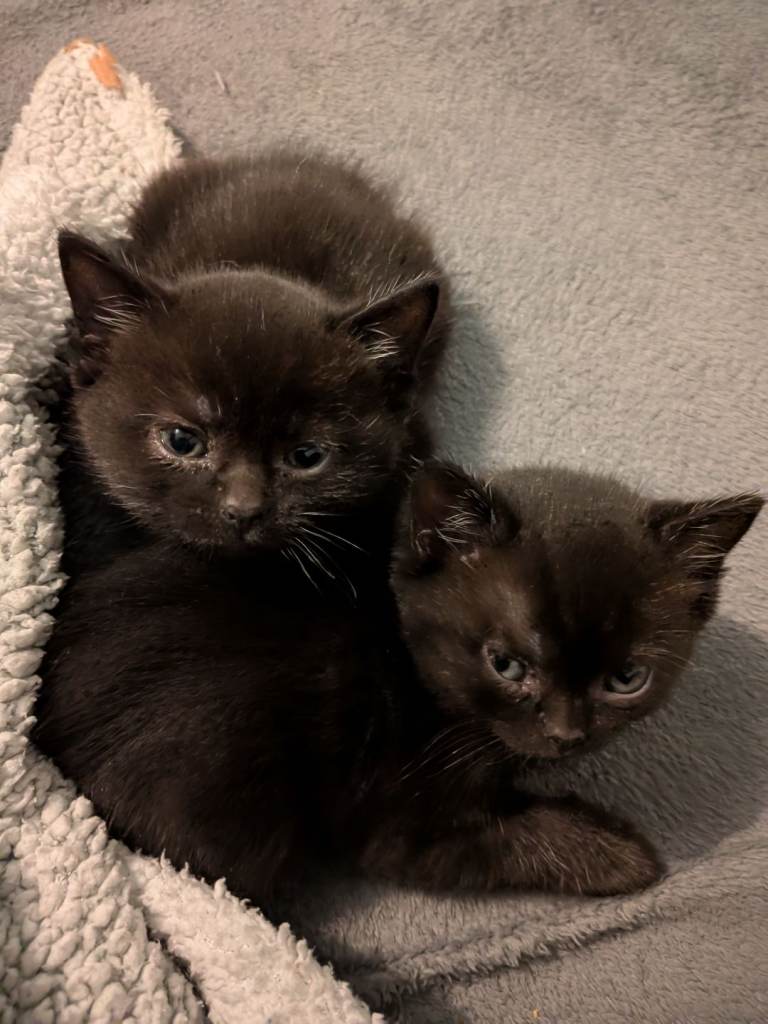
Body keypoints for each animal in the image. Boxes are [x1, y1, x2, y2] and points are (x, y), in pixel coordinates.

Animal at [32, 461, 762, 906]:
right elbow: (511, 838)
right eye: (506, 664)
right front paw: (621, 855)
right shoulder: (397, 818)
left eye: (627, 678)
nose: (566, 734)